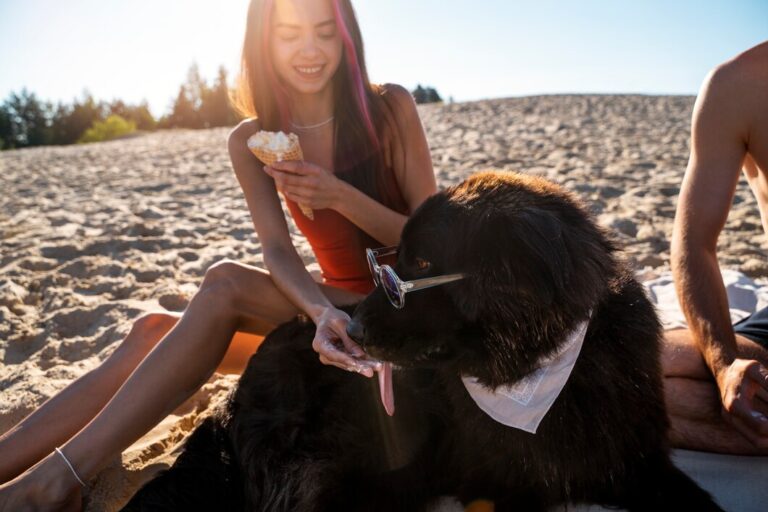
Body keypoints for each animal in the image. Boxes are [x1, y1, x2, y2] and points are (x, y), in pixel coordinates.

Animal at [124, 173, 720, 512]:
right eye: (393, 265)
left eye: (424, 265)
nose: (350, 332)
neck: (544, 369)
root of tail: (235, 395)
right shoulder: (510, 485)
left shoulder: (637, 461)